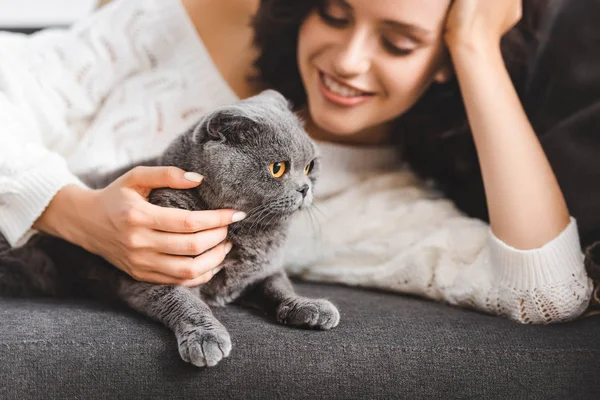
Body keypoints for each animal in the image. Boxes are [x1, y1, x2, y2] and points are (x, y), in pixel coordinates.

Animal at [0, 90, 338, 368]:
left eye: (310, 166)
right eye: (277, 168)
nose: (305, 188)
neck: (246, 232)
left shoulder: (264, 271)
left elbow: (281, 288)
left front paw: (310, 306)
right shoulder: (155, 275)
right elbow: (187, 303)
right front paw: (206, 338)